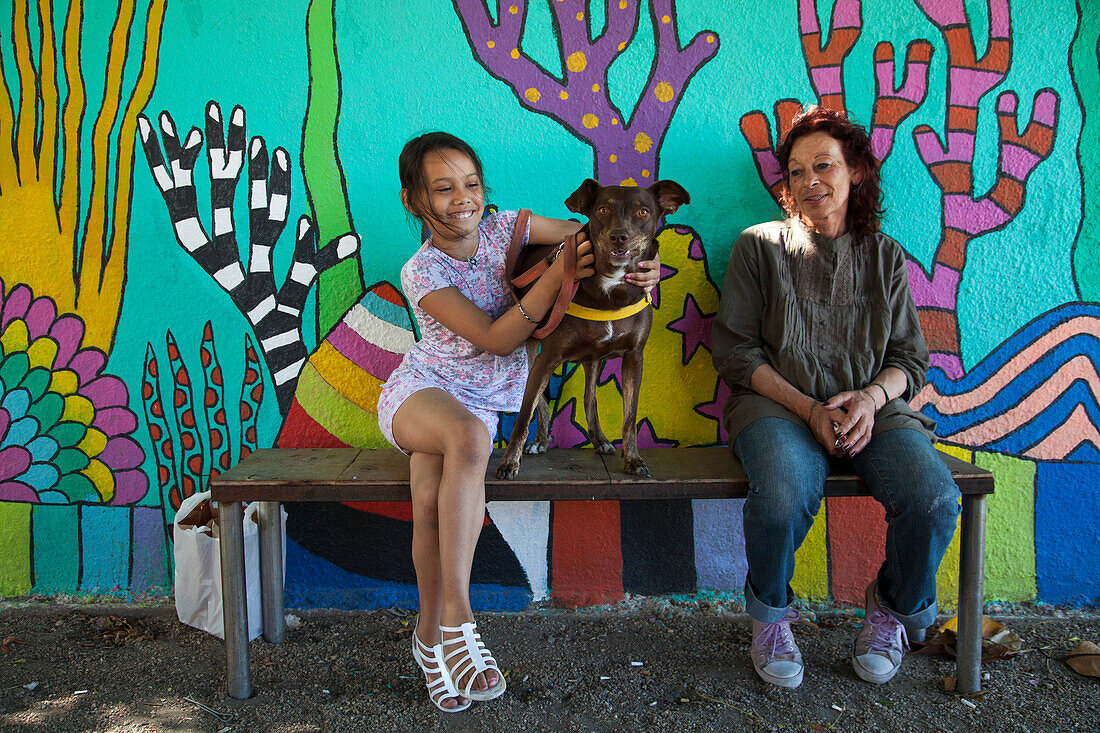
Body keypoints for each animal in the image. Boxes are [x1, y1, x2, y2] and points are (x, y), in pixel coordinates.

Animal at [497, 178, 686, 479]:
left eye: (643, 212)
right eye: (603, 210)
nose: (619, 236)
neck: (611, 285)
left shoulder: (634, 357)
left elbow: (630, 417)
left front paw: (633, 458)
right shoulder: (547, 357)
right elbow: (525, 414)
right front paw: (509, 461)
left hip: (593, 359)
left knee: (588, 398)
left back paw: (599, 440)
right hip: (532, 348)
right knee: (539, 397)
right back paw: (540, 441)